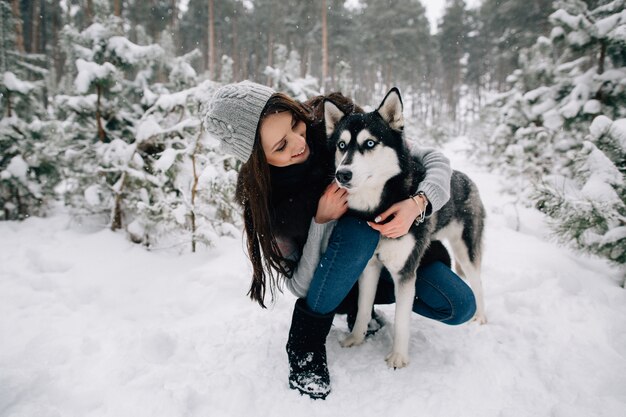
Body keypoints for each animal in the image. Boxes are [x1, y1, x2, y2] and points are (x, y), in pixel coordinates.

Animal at [324, 88, 486, 368]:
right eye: (341, 145)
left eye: (370, 143)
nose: (342, 174)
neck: (378, 206)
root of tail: (465, 178)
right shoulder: (369, 266)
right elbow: (364, 306)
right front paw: (356, 339)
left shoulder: (405, 273)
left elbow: (401, 320)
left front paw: (398, 357)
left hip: (465, 250)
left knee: (477, 280)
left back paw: (482, 318)